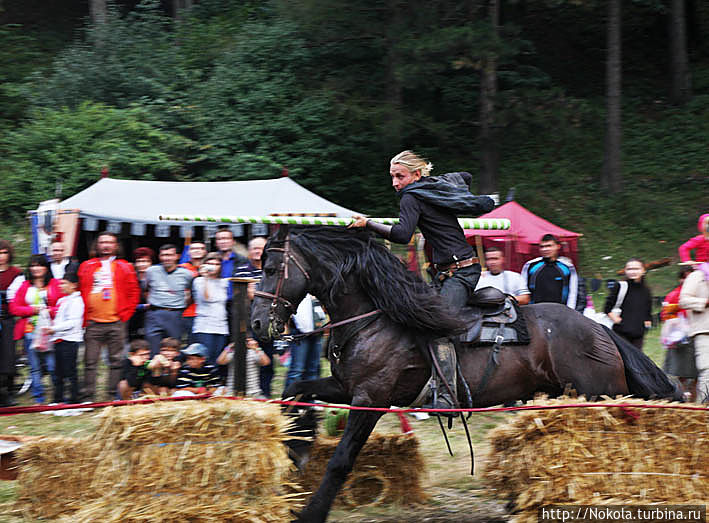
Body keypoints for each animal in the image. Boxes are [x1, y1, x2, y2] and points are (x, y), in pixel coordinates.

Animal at [252, 226, 676, 523]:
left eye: (271, 269)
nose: (257, 324)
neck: (375, 318)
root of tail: (599, 329)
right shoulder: (344, 387)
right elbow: (295, 389)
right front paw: (295, 450)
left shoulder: (371, 398)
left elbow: (341, 460)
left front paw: (310, 510)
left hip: (599, 395)